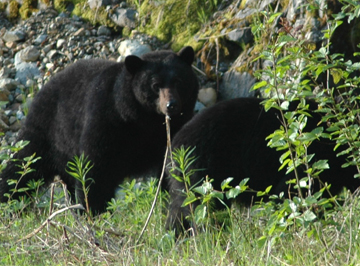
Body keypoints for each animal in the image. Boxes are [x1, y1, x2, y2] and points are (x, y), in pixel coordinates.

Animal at [0, 46, 198, 212]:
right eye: (155, 85)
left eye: (178, 81)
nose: (171, 105)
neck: (145, 122)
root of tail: (45, 85)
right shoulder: (106, 120)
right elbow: (96, 167)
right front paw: (92, 210)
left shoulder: (171, 133)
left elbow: (174, 163)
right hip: (46, 130)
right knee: (24, 163)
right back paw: (8, 201)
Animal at [166, 97, 360, 233]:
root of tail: (176, 143)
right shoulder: (310, 161)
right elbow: (291, 194)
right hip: (203, 172)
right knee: (201, 208)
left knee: (180, 208)